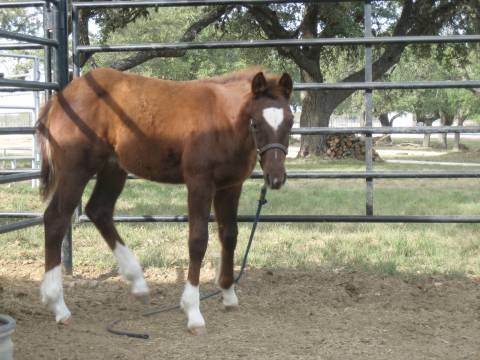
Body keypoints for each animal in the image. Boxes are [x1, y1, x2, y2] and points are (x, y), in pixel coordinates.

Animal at [35, 67, 292, 334]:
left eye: (291, 121)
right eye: (256, 122)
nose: (275, 178)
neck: (224, 119)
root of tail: (59, 99)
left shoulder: (231, 186)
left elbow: (229, 235)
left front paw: (229, 295)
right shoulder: (199, 183)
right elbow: (198, 241)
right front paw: (193, 312)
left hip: (113, 168)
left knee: (99, 210)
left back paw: (137, 283)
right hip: (75, 171)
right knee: (56, 219)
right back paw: (58, 305)